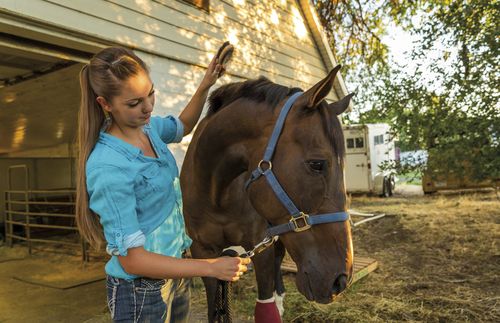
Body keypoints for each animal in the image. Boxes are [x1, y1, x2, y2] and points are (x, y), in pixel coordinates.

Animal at [182, 66, 354, 322]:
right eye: (317, 164)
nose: (341, 280)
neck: (217, 194)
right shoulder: (204, 253)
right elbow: (214, 311)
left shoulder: (261, 247)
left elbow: (266, 305)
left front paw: (276, 302)